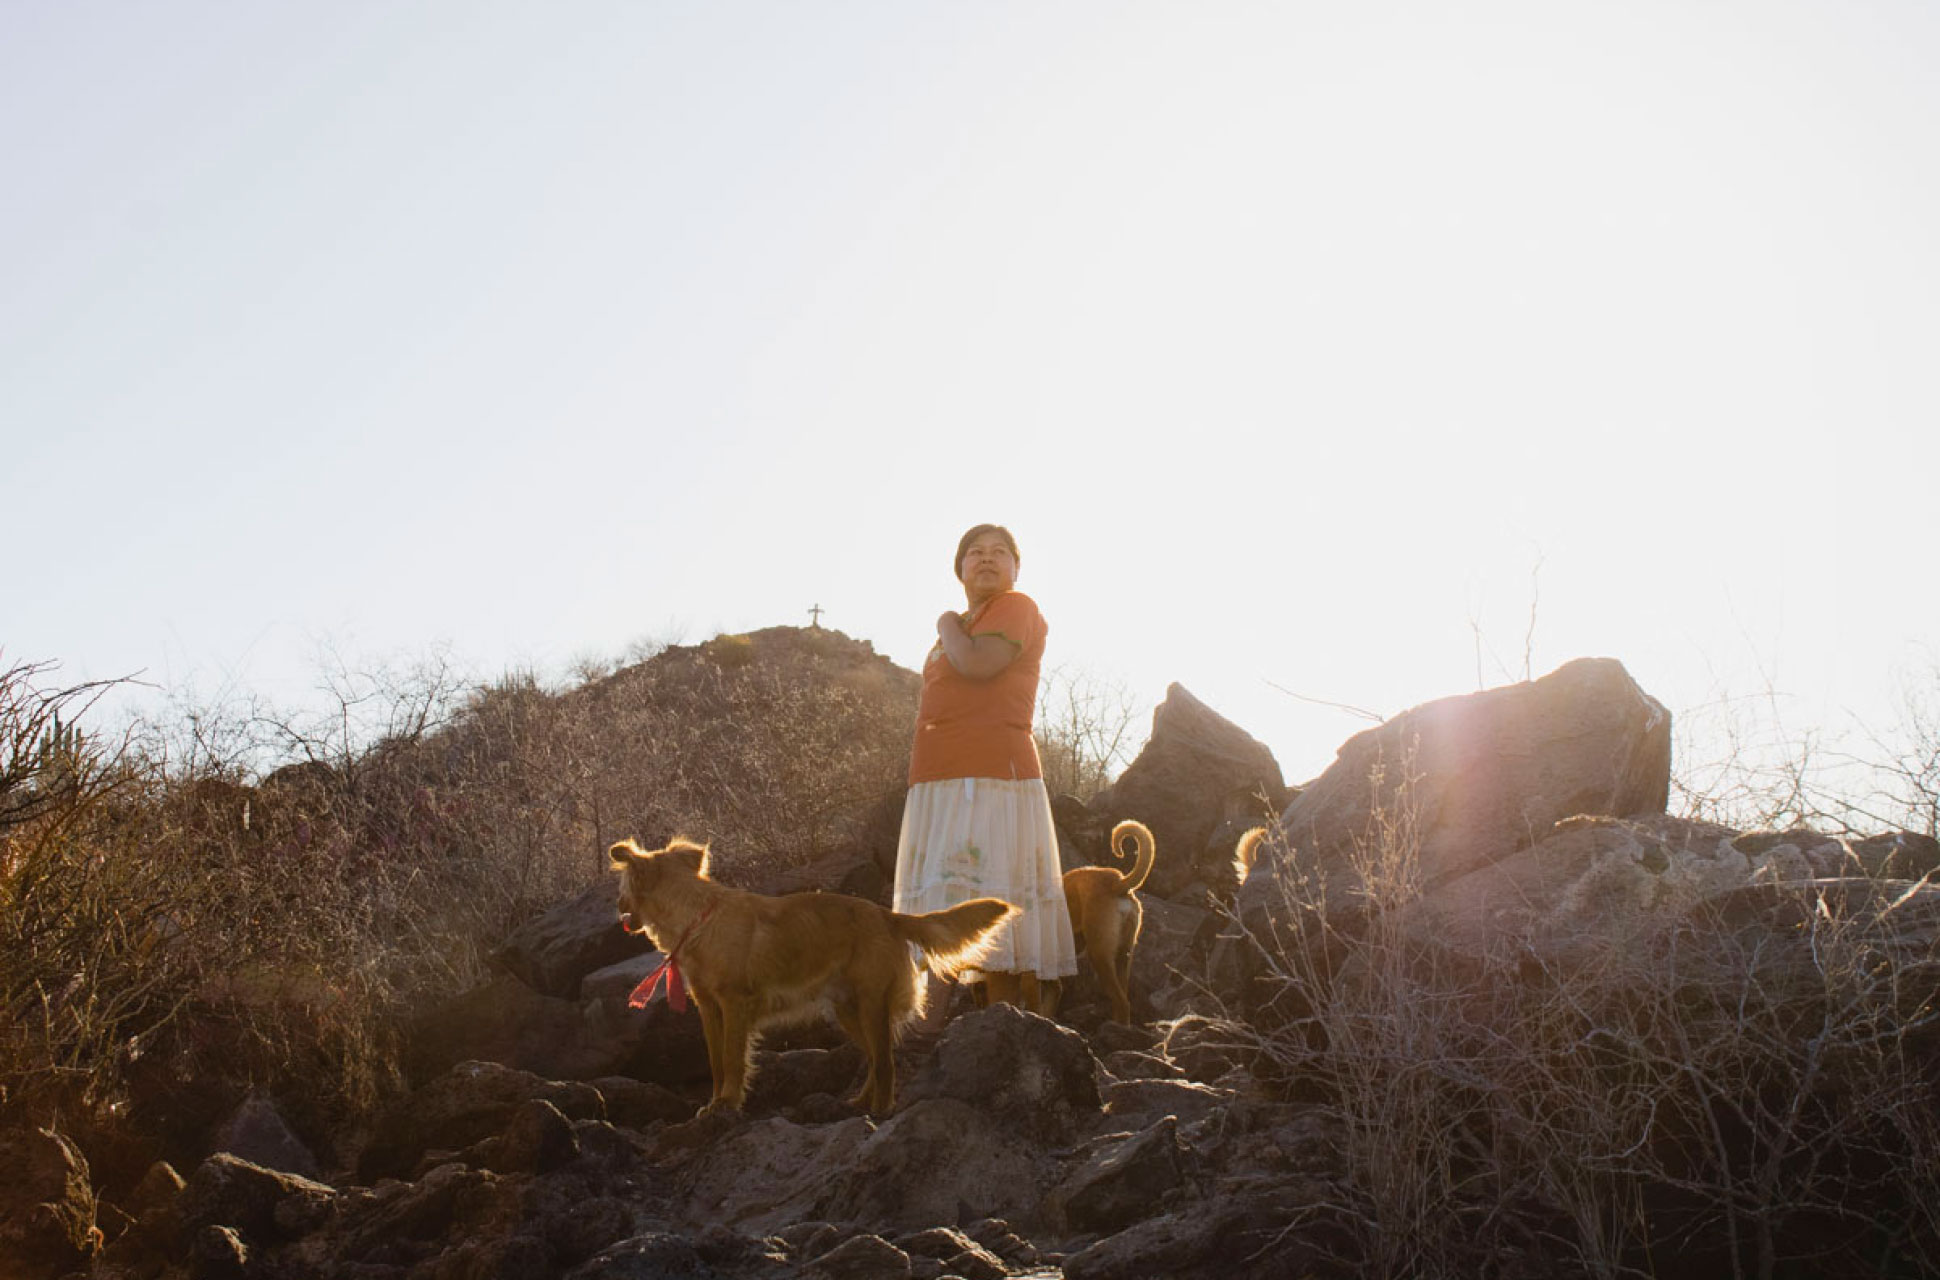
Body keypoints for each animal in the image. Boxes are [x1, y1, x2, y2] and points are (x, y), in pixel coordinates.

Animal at [609, 833, 1016, 1117]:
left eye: (622, 890)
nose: (617, 908)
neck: (697, 918)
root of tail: (888, 916)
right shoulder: (708, 1007)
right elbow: (715, 1060)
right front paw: (715, 1103)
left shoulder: (735, 1005)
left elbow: (732, 1059)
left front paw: (728, 1101)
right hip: (848, 1012)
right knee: (874, 1059)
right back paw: (858, 1103)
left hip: (871, 1004)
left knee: (885, 1062)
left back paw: (879, 1111)